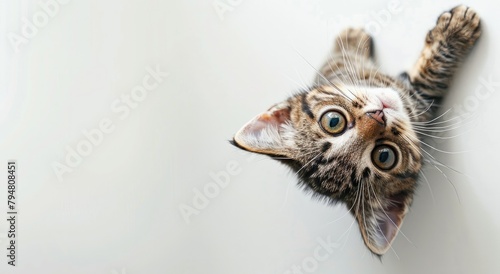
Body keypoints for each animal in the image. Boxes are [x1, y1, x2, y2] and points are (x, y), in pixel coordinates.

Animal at [230, 4, 480, 256]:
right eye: (384, 156)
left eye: (333, 122)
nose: (378, 116)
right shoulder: (419, 100)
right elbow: (431, 74)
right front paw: (456, 30)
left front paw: (349, 38)